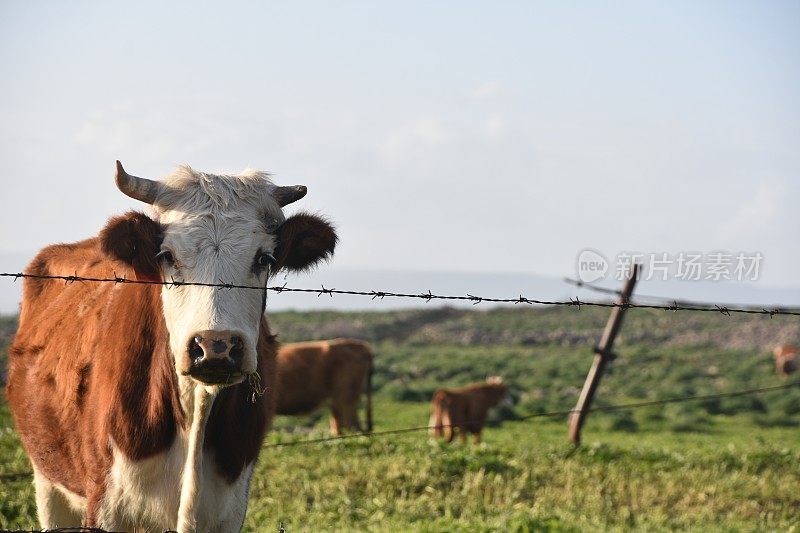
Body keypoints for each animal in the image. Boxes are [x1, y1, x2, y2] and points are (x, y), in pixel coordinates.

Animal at [3, 162, 334, 532]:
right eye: (167, 255)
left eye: (264, 258)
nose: (216, 346)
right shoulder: (106, 507)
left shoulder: (230, 510)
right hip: (49, 485)